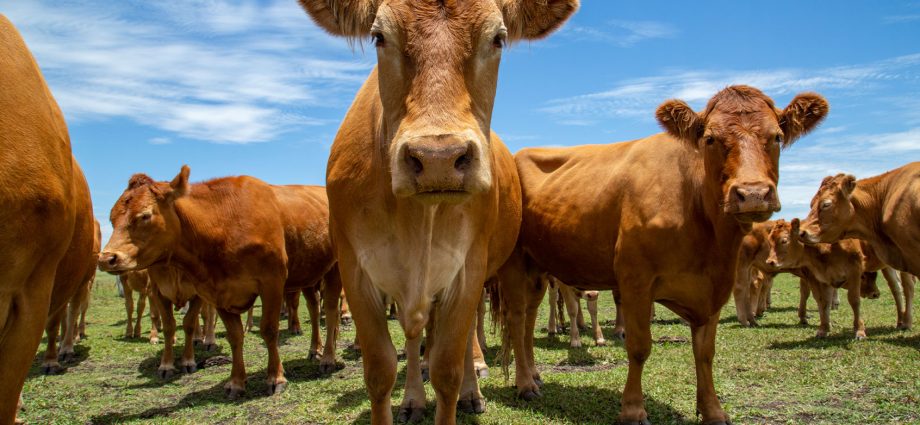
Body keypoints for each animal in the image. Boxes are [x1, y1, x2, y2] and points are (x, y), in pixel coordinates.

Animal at [297, 1, 576, 423]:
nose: (438, 158)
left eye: (498, 38)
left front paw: (462, 387)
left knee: (499, 325)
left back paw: (485, 388)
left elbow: (448, 368)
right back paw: (415, 396)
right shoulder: (355, 269)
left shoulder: (468, 268)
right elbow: (380, 370)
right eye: (379, 36)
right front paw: (410, 395)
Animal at [493, 86, 828, 424]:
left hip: (537, 266)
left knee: (529, 317)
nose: (753, 194)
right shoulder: (635, 280)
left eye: (776, 137)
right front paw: (632, 409)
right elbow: (639, 346)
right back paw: (525, 384)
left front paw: (712, 409)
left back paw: (535, 375)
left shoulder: (714, 287)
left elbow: (705, 352)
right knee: (518, 317)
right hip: (514, 263)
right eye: (710, 139)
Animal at [798, 164, 920, 329]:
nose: (801, 232)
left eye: (826, 204)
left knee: (907, 287)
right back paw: (900, 319)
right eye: (811, 203)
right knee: (896, 287)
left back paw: (906, 321)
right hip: (888, 265)